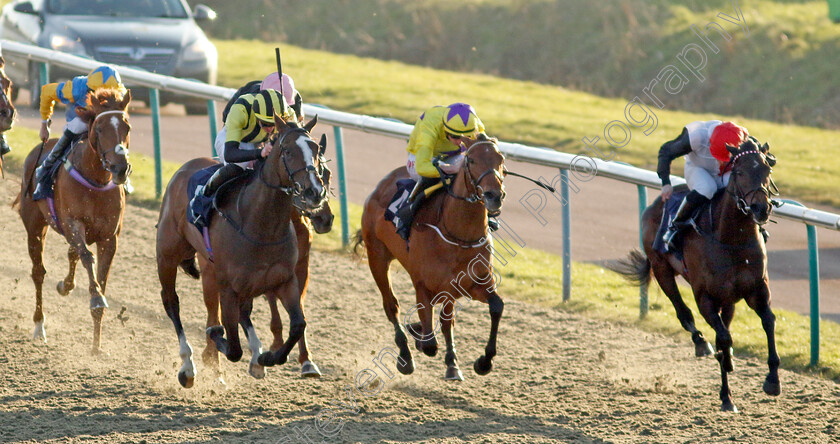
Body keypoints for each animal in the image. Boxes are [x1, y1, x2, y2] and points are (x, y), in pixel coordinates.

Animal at [14, 87, 131, 354]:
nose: (120, 169)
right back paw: (39, 326)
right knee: (39, 272)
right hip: (35, 227)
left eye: (127, 127)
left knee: (71, 254)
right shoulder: (72, 223)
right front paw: (96, 299)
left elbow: (100, 274)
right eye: (100, 129)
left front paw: (96, 345)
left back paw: (65, 286)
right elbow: (88, 258)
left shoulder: (109, 238)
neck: (95, 180)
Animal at [156, 115, 330, 388]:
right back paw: (188, 366)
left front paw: (269, 357)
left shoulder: (285, 280)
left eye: (316, 150)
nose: (315, 192)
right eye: (287, 151)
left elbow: (298, 325)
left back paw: (257, 356)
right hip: (168, 255)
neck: (261, 226)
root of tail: (184, 168)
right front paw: (216, 337)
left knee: (245, 311)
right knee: (172, 302)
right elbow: (232, 345)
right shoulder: (228, 288)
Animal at [354, 134, 506, 380]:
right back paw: (406, 356)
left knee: (446, 320)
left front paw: (484, 362)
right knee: (392, 306)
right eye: (472, 160)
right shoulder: (423, 286)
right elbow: (429, 344)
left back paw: (451, 363)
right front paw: (417, 337)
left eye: (500, 159)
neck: (459, 235)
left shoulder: (473, 284)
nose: (494, 196)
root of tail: (380, 185)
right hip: (377, 257)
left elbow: (496, 307)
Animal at [612, 137, 780, 412]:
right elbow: (722, 337)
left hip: (728, 298)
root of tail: (655, 204)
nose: (760, 208)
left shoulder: (757, 290)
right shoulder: (705, 298)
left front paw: (772, 380)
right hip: (662, 270)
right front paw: (726, 381)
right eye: (740, 172)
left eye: (767, 170)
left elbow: (768, 322)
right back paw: (703, 346)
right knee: (684, 313)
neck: (731, 239)